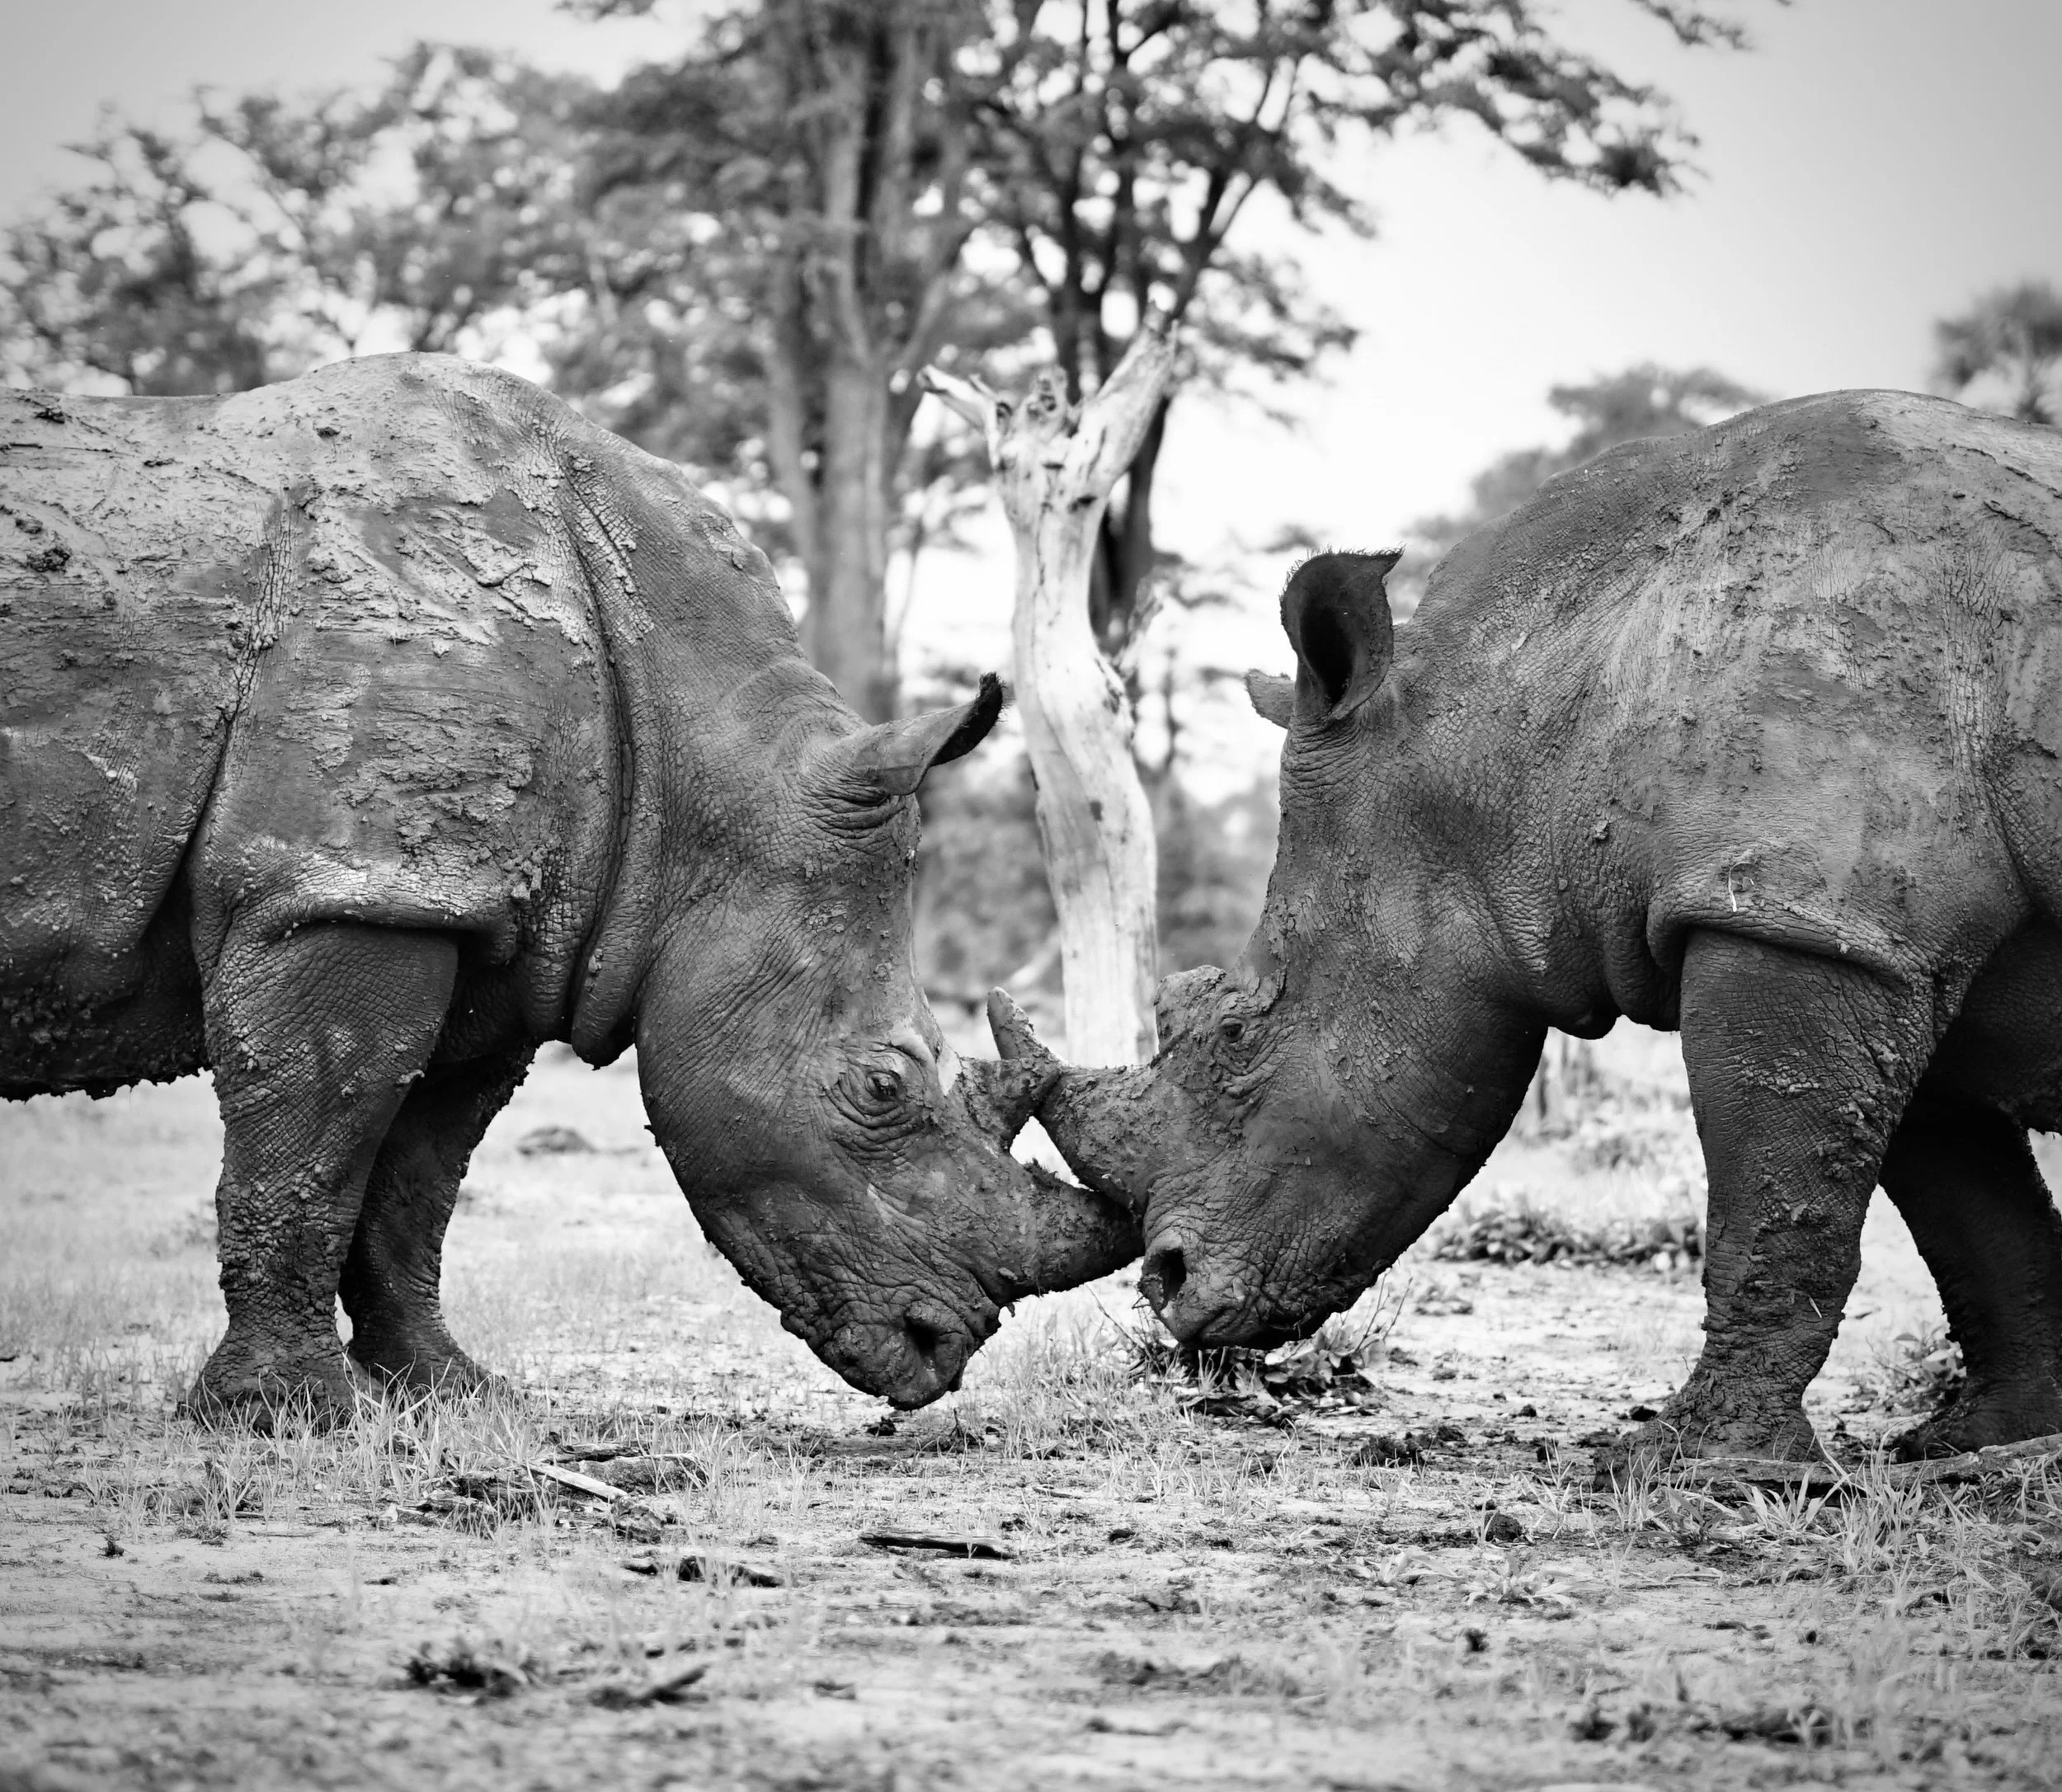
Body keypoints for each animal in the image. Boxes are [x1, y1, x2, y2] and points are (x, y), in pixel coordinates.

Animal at [0, 354, 1135, 1421]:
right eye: (881, 1087)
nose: (943, 1347)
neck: (707, 760)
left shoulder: (480, 918)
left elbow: (412, 1178)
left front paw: (450, 1394)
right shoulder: (344, 890)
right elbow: (307, 1147)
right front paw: (287, 1414)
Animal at [1034, 390, 2062, 1469]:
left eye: (1237, 1037)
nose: (1168, 1282)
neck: (1525, 727)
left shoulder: (1799, 925)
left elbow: (1774, 1204)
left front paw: (1688, 1467)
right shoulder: (1873, 943)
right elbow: (1973, 1213)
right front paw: (1980, 1440)